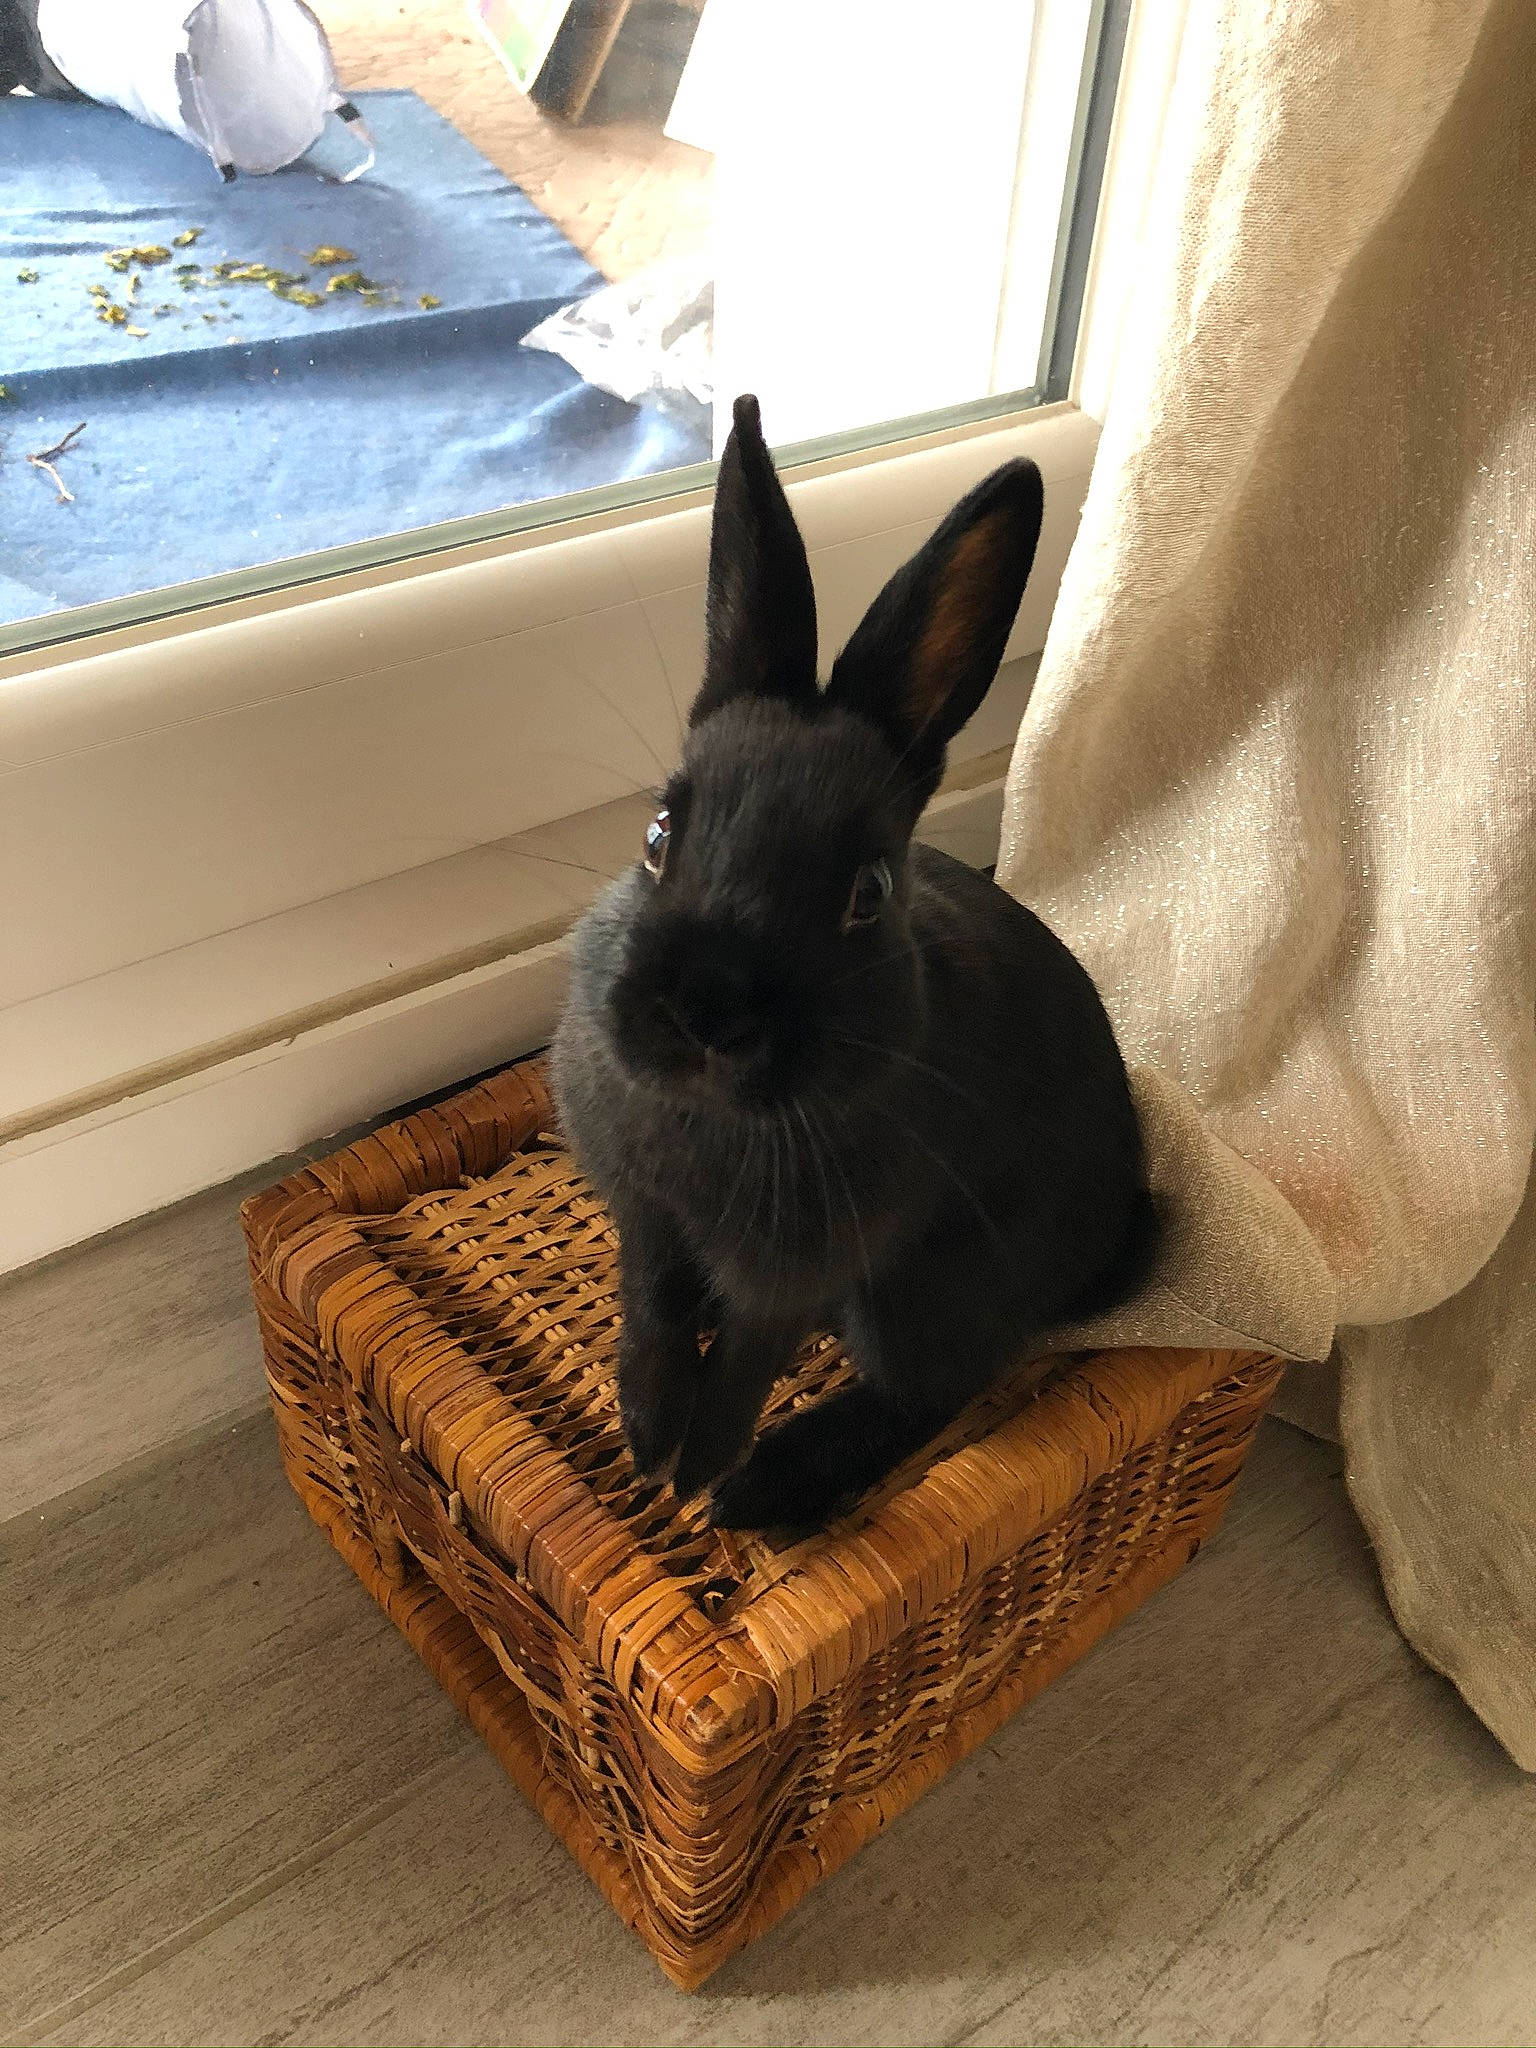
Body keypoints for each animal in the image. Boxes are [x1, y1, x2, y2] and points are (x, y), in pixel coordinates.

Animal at [551, 393, 1155, 1531]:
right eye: (659, 832)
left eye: (866, 893)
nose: (703, 1013)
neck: (711, 1118)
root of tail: (1120, 1234)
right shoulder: (646, 1216)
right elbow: (653, 1310)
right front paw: (645, 1430)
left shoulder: (800, 1271)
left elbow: (746, 1362)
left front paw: (698, 1471)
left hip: (921, 1295)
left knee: (929, 1392)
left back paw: (768, 1487)